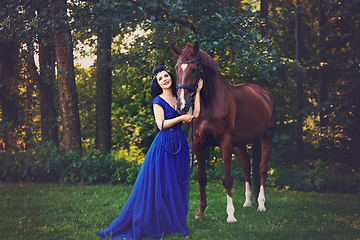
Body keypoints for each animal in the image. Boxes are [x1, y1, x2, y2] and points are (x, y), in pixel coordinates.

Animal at [171, 41, 276, 223]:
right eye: (177, 68)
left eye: (193, 69)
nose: (182, 105)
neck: (210, 103)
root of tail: (265, 94)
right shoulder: (199, 143)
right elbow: (201, 177)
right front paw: (200, 212)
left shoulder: (225, 142)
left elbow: (226, 178)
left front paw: (231, 215)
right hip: (241, 143)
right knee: (246, 165)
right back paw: (248, 202)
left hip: (266, 138)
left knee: (262, 168)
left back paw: (261, 204)